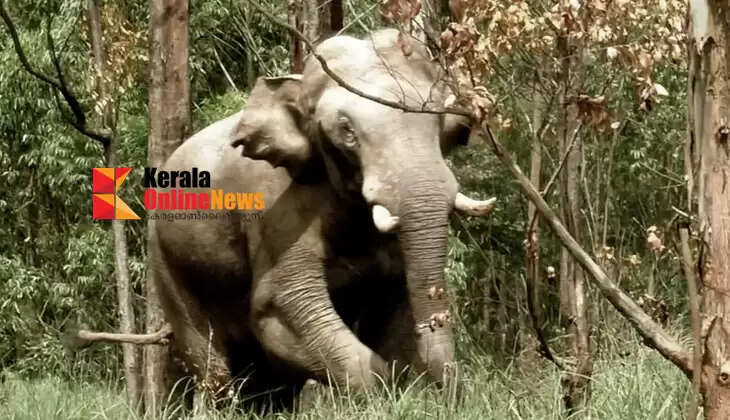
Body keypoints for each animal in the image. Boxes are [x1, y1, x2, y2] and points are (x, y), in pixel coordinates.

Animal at [151, 29, 494, 403]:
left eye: (440, 121)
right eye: (347, 131)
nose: (452, 394)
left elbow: (395, 293)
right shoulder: (277, 211)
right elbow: (279, 305)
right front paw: (382, 392)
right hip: (167, 264)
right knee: (211, 365)